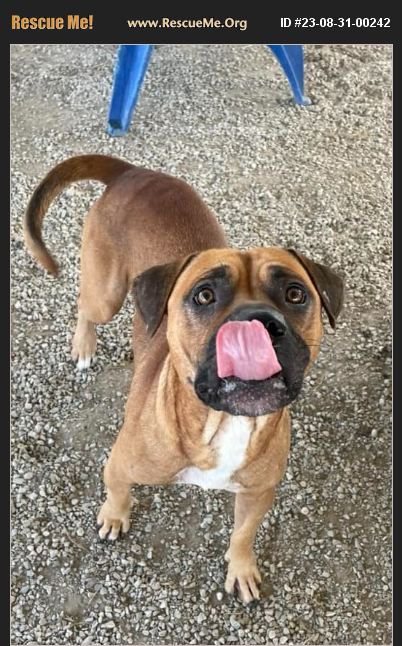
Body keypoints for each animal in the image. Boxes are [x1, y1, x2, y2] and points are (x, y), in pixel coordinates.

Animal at [24, 154, 344, 603]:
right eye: (204, 295)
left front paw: (241, 569)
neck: (223, 424)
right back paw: (84, 346)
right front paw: (113, 517)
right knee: (87, 307)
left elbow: (243, 535)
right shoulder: (119, 464)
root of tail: (131, 171)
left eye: (296, 294)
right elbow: (116, 491)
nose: (257, 322)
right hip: (106, 293)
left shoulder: (258, 494)